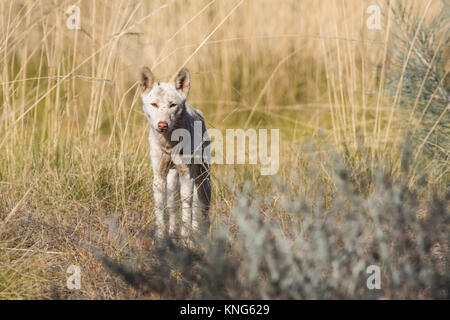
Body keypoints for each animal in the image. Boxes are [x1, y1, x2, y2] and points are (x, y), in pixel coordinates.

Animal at [141, 67, 211, 240]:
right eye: (154, 104)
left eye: (172, 105)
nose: (162, 125)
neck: (169, 144)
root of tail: (196, 110)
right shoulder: (158, 176)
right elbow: (160, 212)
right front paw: (161, 239)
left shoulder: (187, 176)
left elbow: (187, 213)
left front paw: (186, 240)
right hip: (172, 183)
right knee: (172, 209)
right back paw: (173, 234)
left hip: (203, 182)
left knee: (200, 212)